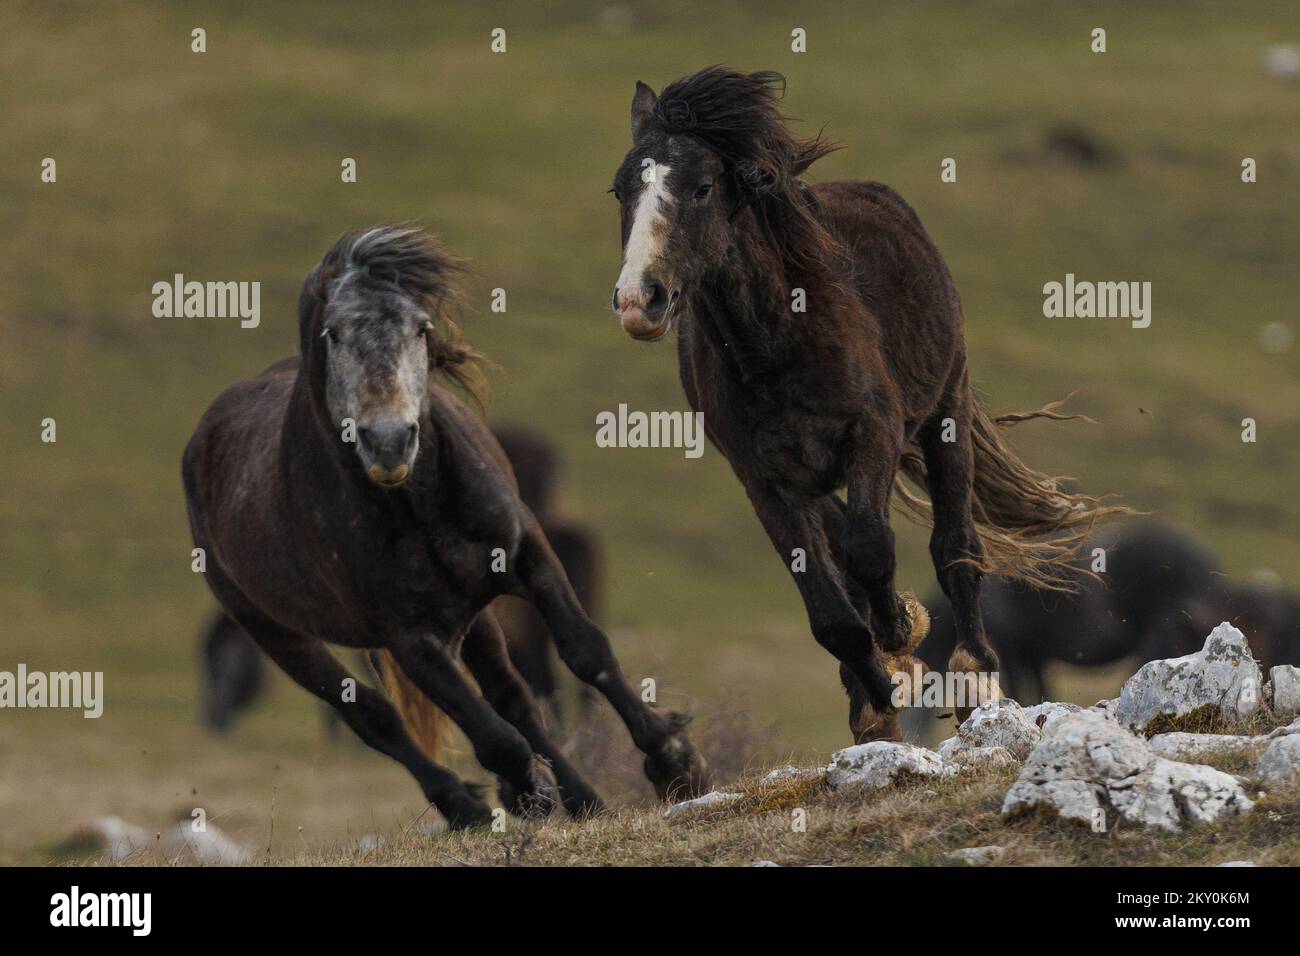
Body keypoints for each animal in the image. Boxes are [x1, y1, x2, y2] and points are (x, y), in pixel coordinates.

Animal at [183, 223, 707, 822]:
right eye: (333, 334)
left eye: (420, 327)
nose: (388, 441)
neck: (417, 505)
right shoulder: (409, 638)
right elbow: (488, 733)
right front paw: (526, 788)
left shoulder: (526, 556)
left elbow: (586, 651)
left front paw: (674, 760)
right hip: (283, 636)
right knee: (377, 718)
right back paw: (471, 808)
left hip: (474, 614)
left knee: (513, 697)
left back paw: (583, 801)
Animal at [608, 67, 1128, 738]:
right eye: (620, 191)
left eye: (701, 187)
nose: (637, 301)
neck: (775, 343)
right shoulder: (762, 480)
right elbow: (830, 613)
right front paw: (877, 698)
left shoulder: (872, 432)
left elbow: (871, 547)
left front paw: (902, 634)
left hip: (945, 413)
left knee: (955, 545)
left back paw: (975, 676)